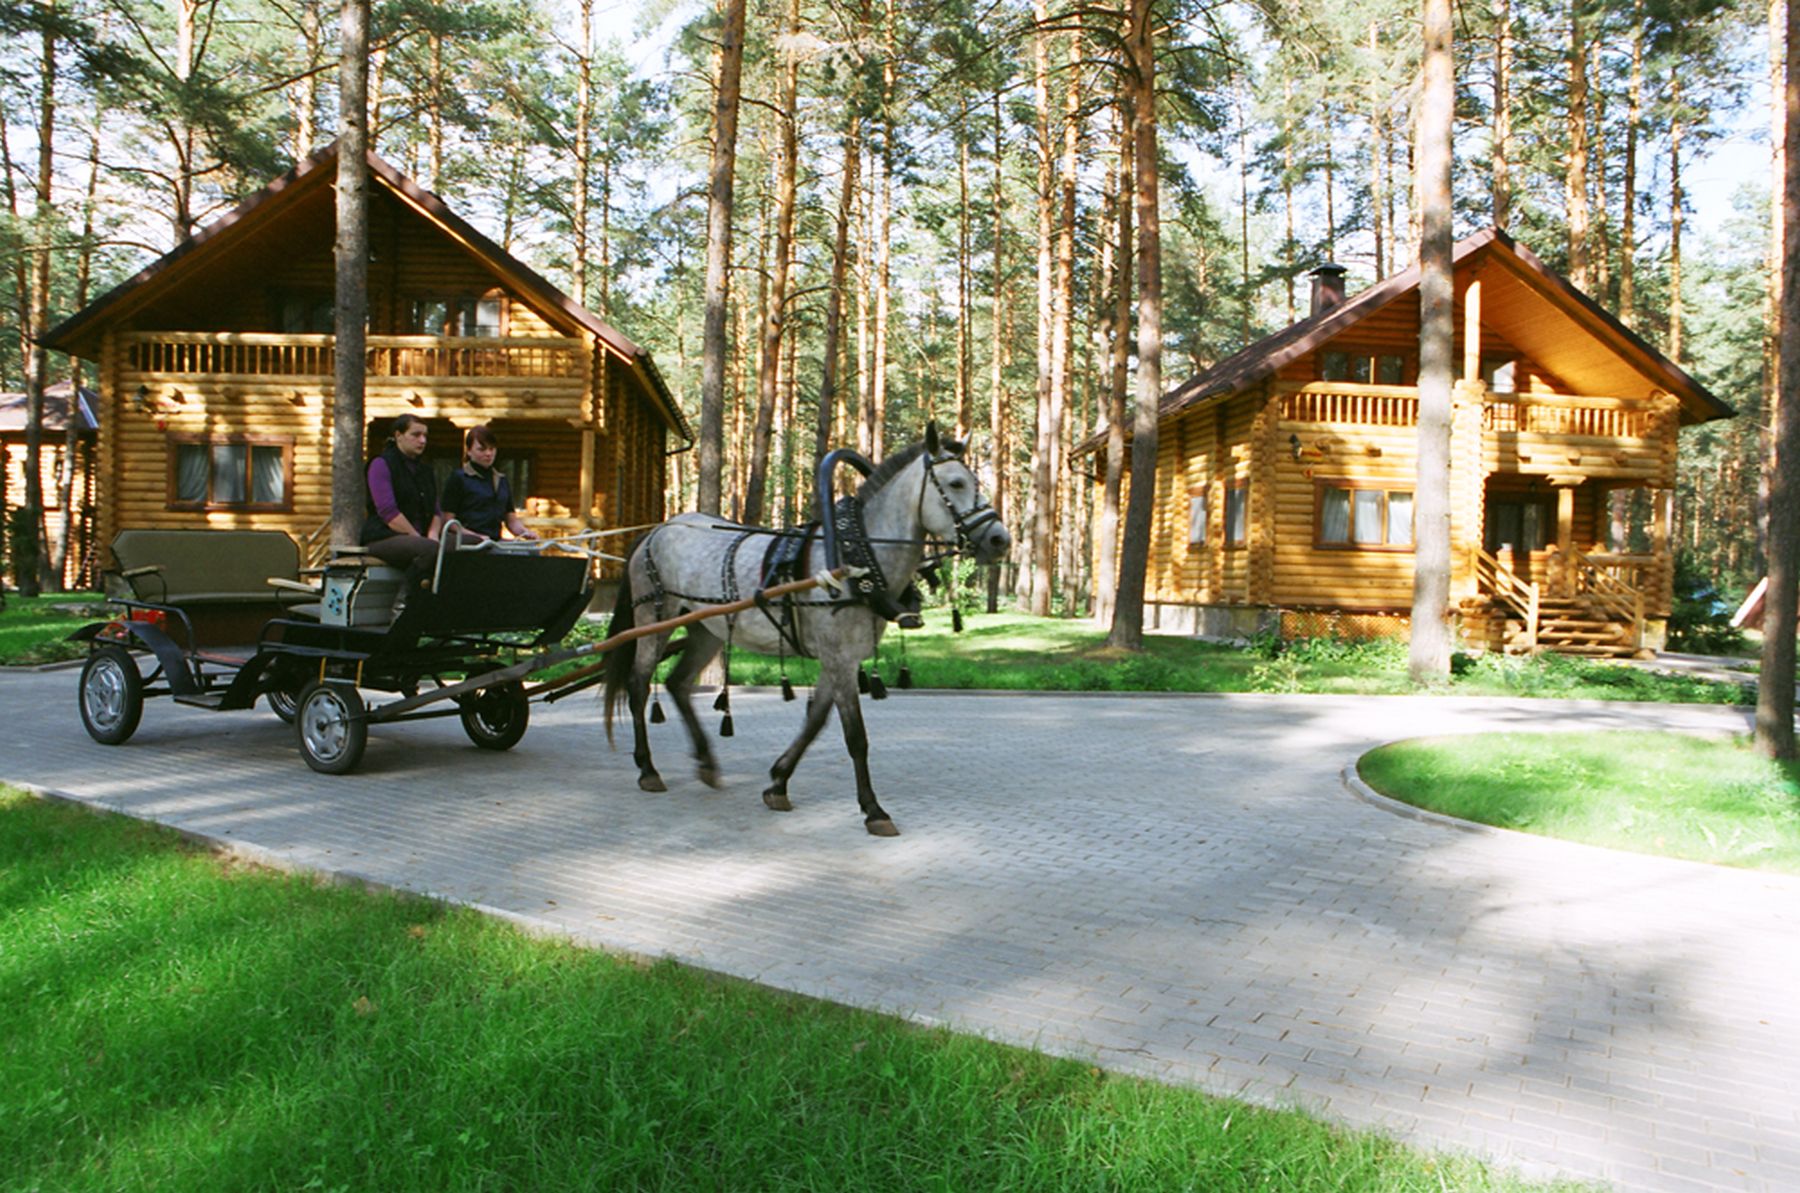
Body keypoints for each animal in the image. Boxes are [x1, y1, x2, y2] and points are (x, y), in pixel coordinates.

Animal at [601, 422, 1011, 836]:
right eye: (956, 483)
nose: (1000, 540)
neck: (854, 559)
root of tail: (655, 531)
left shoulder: (840, 659)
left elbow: (815, 721)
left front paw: (778, 782)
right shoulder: (838, 657)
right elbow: (855, 736)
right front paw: (874, 809)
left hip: (705, 629)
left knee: (677, 684)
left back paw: (706, 762)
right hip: (653, 620)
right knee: (639, 685)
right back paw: (648, 769)